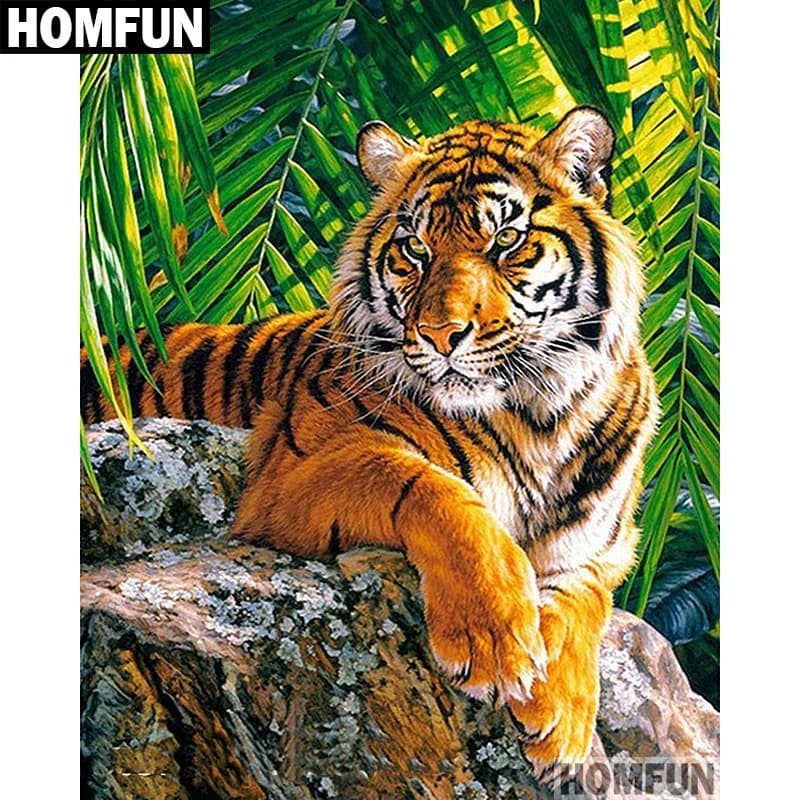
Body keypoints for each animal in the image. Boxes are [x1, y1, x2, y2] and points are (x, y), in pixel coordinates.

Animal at [81, 107, 658, 784]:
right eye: (416, 248)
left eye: (506, 241)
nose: (439, 334)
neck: (538, 413)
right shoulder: (289, 473)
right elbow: (437, 491)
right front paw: (494, 639)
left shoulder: (605, 545)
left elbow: (583, 596)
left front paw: (563, 721)